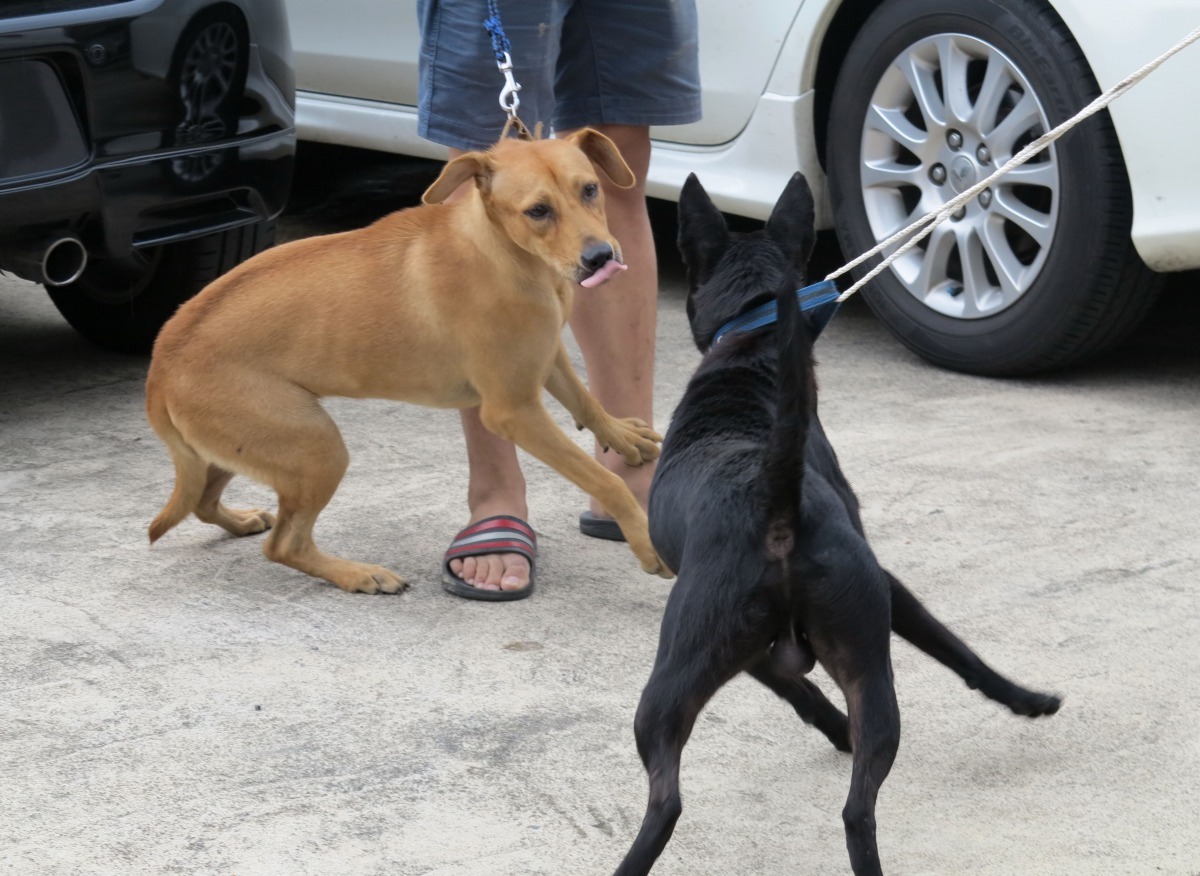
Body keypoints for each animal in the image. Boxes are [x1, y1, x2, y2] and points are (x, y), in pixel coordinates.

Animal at [144, 129, 672, 590]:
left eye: (590, 189)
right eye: (537, 211)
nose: (601, 257)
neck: (506, 253)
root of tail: (161, 361)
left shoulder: (544, 355)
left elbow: (585, 399)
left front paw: (621, 435)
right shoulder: (514, 411)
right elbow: (607, 482)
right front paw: (647, 540)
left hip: (243, 447)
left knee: (203, 501)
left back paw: (241, 520)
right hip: (316, 447)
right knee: (284, 545)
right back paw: (358, 575)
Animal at [614, 172, 1065, 873]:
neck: (751, 348)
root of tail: (773, 501)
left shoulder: (758, 652)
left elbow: (798, 690)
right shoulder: (883, 588)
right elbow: (957, 651)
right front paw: (1026, 699)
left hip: (672, 679)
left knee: (667, 799)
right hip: (865, 656)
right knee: (859, 807)